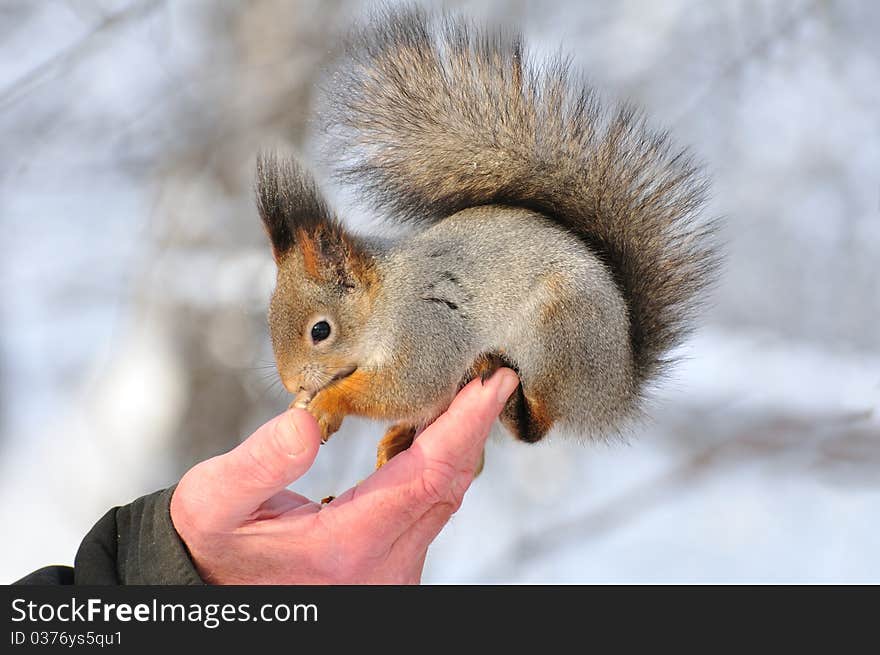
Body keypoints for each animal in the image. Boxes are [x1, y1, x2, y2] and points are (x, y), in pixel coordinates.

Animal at [253, 3, 716, 466]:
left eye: (320, 331)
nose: (293, 384)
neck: (385, 303)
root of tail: (616, 391)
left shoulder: (427, 332)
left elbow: (406, 387)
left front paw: (330, 402)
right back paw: (401, 438)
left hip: (558, 337)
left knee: (538, 424)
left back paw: (507, 397)